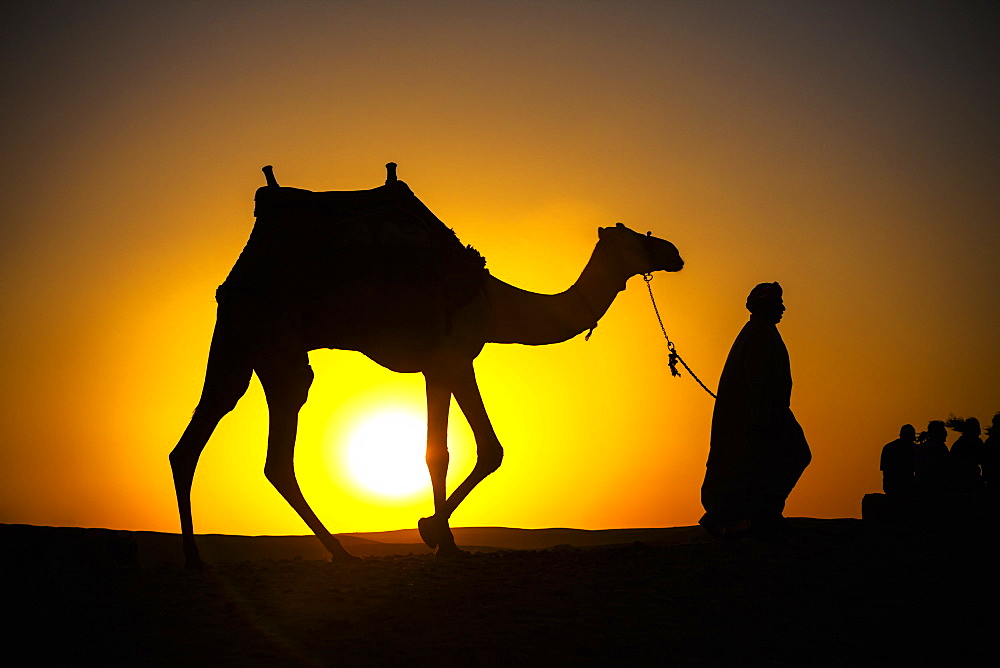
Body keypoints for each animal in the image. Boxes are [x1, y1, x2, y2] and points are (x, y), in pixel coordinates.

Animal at [170, 163, 688, 564]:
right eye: (636, 238)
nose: (674, 251)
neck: (494, 302)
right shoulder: (448, 360)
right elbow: (450, 451)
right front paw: (438, 536)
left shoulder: (452, 363)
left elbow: (481, 449)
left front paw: (434, 531)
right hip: (273, 340)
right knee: (273, 448)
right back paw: (337, 552)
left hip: (240, 344)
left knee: (202, 441)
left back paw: (200, 556)